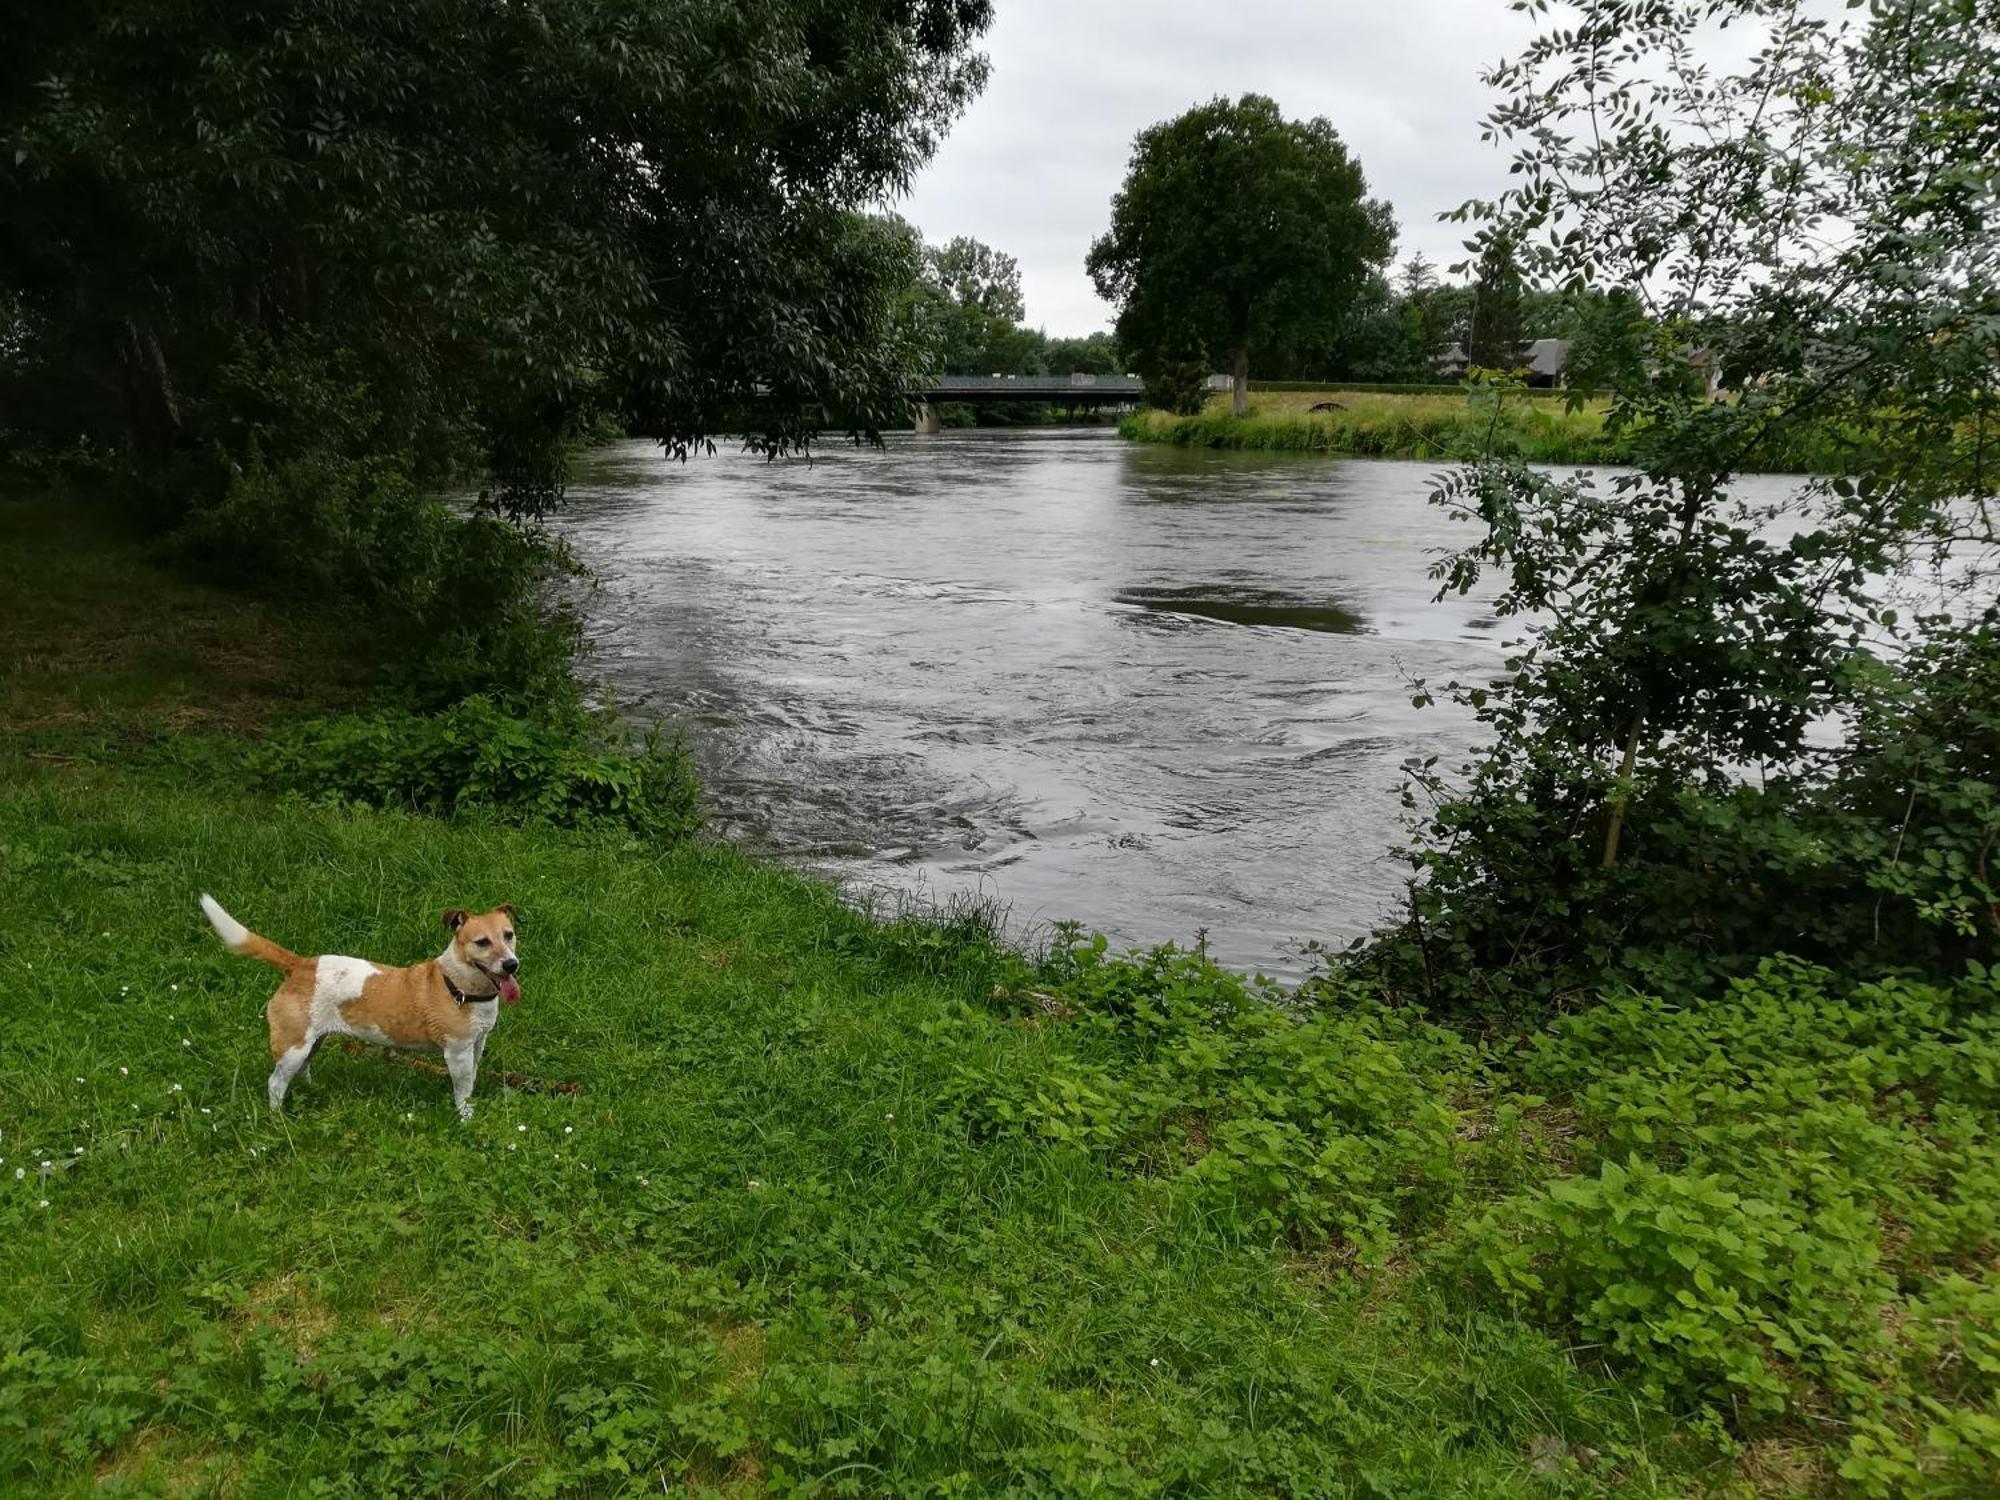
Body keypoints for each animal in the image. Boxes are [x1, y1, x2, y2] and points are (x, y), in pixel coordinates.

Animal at [197, 892, 516, 1120]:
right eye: (482, 942)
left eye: (509, 935)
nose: (512, 965)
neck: (458, 983)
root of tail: (299, 965)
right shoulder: (457, 1051)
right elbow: (462, 1088)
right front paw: (465, 1115)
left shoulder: (477, 1043)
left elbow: (472, 1078)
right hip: (293, 1046)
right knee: (275, 1083)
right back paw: (278, 1120)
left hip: (314, 1041)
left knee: (302, 1071)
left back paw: (314, 1091)